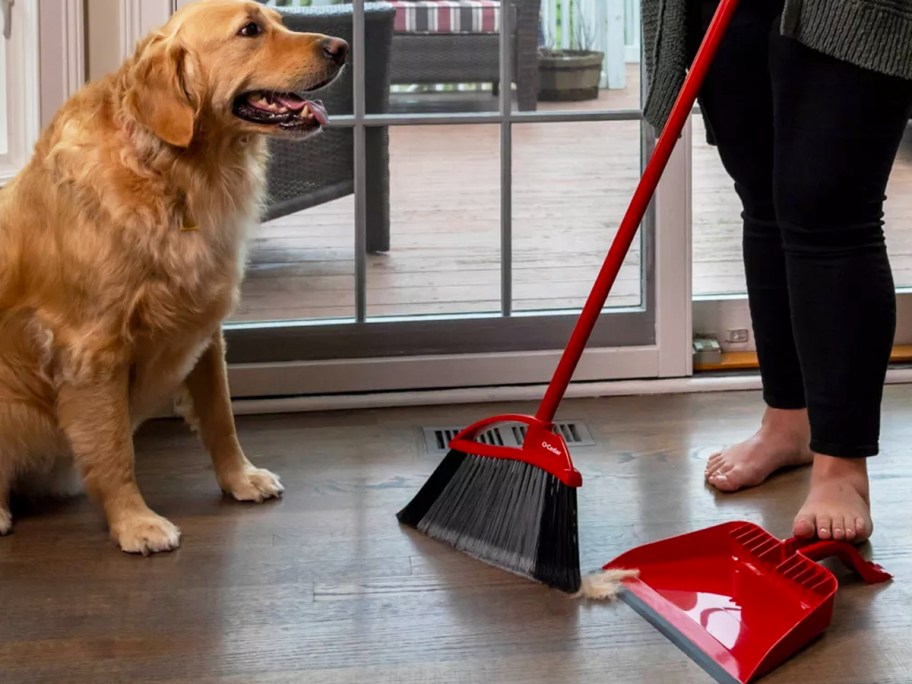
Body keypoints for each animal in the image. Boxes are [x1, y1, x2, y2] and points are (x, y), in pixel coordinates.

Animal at [0, 0, 348, 552]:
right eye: (250, 30)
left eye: (279, 19)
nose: (342, 47)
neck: (175, 174)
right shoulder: (93, 349)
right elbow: (114, 448)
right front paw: (134, 522)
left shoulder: (204, 328)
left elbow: (221, 417)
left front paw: (239, 478)